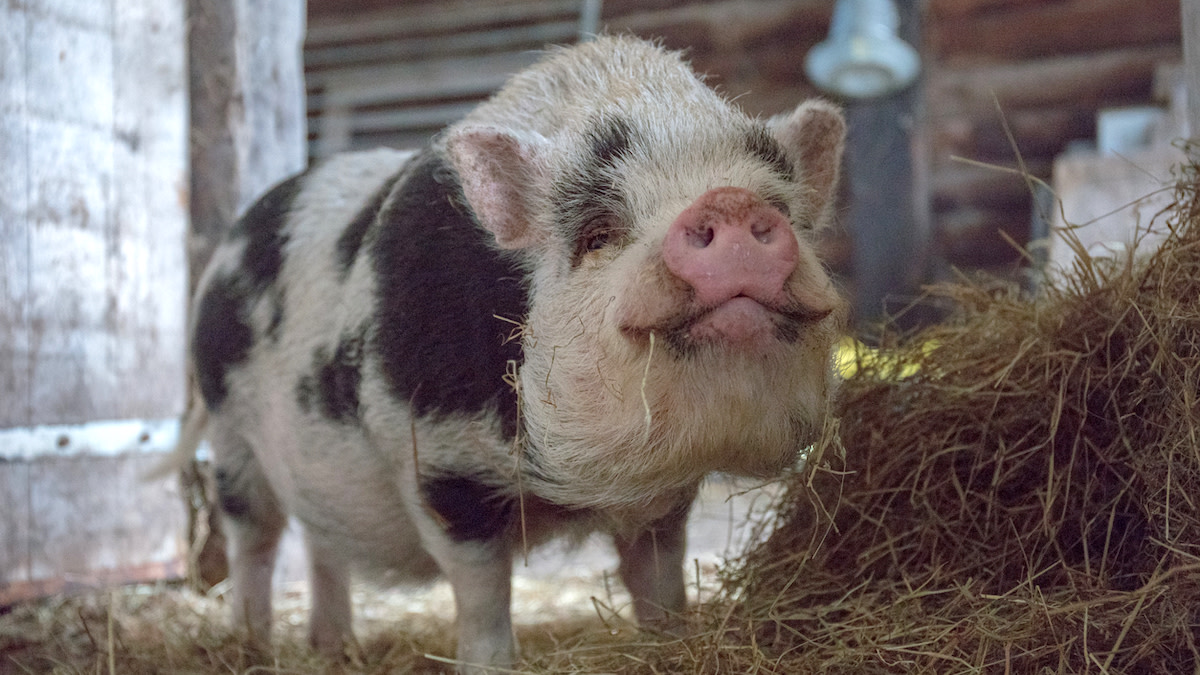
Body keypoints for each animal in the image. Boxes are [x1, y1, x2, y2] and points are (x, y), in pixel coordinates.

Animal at [184, 35, 845, 672]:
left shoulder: (665, 498)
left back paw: (333, 651)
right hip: (229, 435)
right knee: (255, 537)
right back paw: (250, 647)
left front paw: (670, 644)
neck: (570, 485)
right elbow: (482, 592)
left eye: (780, 208)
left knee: (323, 543)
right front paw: (490, 664)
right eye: (597, 235)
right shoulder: (440, 463)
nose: (729, 202)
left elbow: (657, 579)